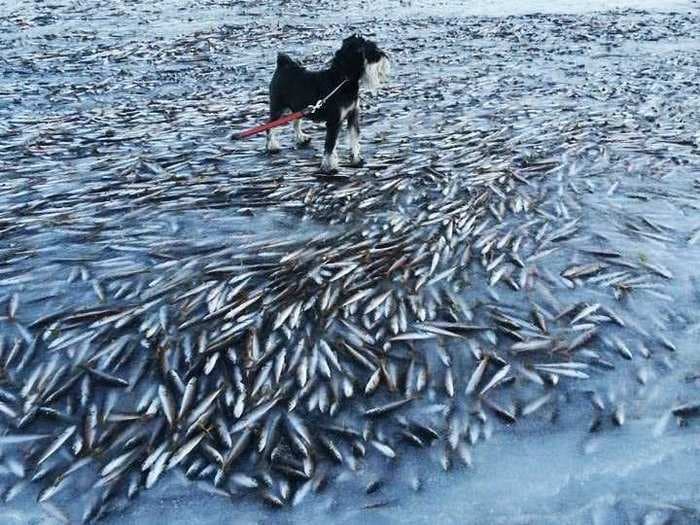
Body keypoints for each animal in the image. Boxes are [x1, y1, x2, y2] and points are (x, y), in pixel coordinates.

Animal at [266, 35, 392, 174]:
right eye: (368, 50)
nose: (384, 55)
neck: (342, 81)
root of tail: (283, 65)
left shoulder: (353, 116)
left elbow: (354, 137)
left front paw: (356, 158)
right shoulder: (334, 121)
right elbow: (330, 145)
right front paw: (328, 166)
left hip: (298, 108)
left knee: (296, 122)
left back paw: (301, 138)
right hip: (278, 108)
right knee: (270, 125)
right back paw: (272, 146)